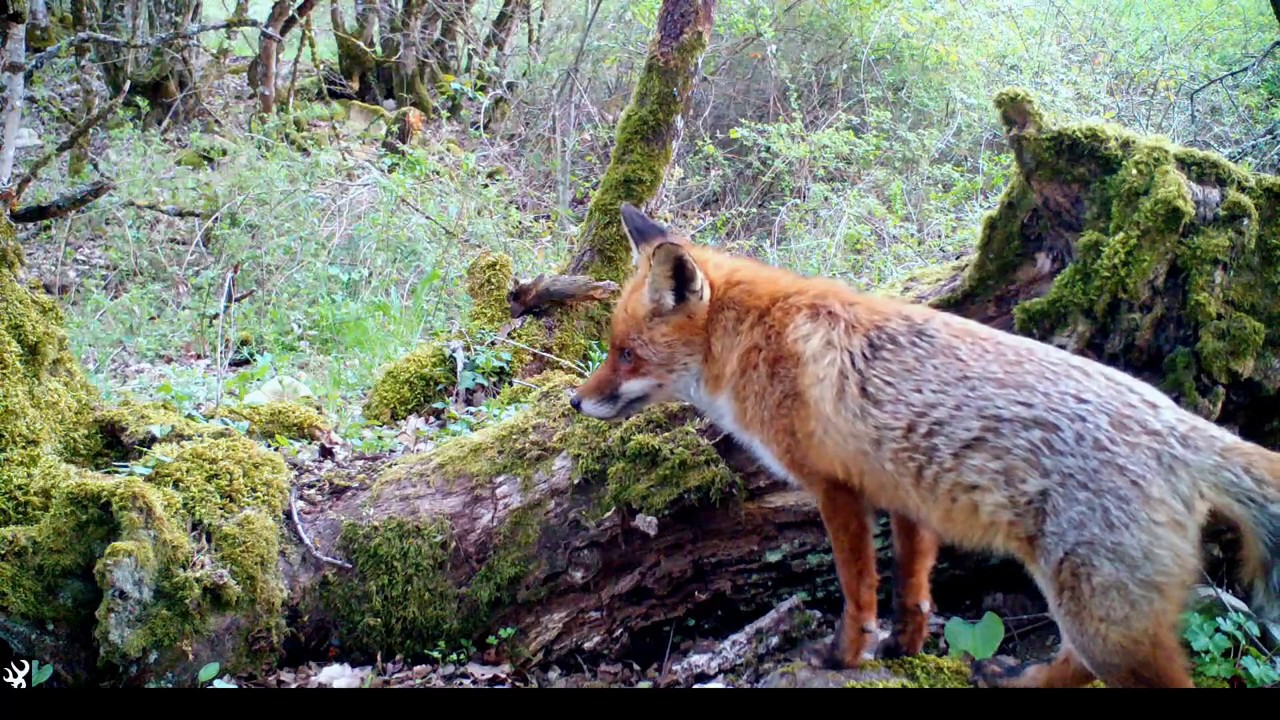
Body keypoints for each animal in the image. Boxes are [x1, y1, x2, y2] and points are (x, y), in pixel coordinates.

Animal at [567, 202, 1280, 688]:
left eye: (625, 354)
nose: (575, 402)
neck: (759, 340)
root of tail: (1177, 422)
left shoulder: (836, 489)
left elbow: (858, 592)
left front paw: (846, 656)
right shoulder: (905, 493)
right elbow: (912, 588)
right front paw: (905, 649)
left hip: (1107, 621)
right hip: (1104, 618)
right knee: (1075, 666)